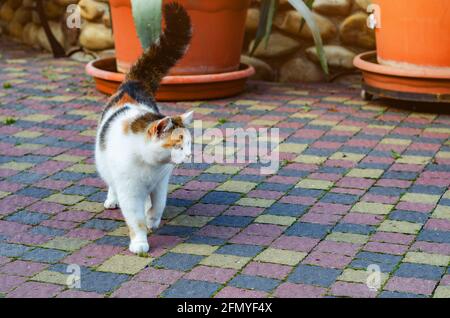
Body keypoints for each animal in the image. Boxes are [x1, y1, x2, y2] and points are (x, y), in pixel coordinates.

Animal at [94, 2, 192, 255]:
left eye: (190, 144)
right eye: (179, 145)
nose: (189, 155)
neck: (149, 164)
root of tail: (133, 83)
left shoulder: (160, 183)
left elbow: (158, 205)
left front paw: (152, 220)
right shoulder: (130, 191)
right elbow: (135, 218)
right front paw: (139, 242)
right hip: (104, 162)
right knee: (110, 182)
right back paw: (112, 199)